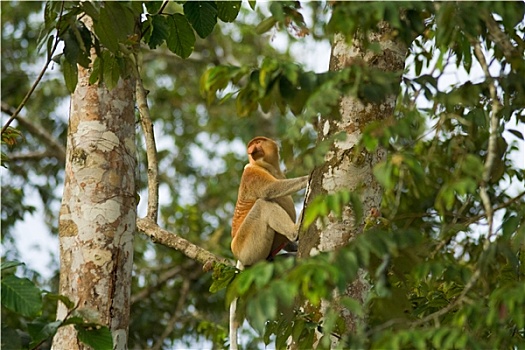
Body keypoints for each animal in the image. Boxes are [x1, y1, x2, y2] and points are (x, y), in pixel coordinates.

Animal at [229, 136, 308, 266]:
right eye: (251, 145)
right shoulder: (250, 173)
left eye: (258, 142)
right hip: (244, 248)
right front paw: (308, 177)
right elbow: (271, 188)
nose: (251, 150)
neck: (269, 168)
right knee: (262, 205)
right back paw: (294, 231)